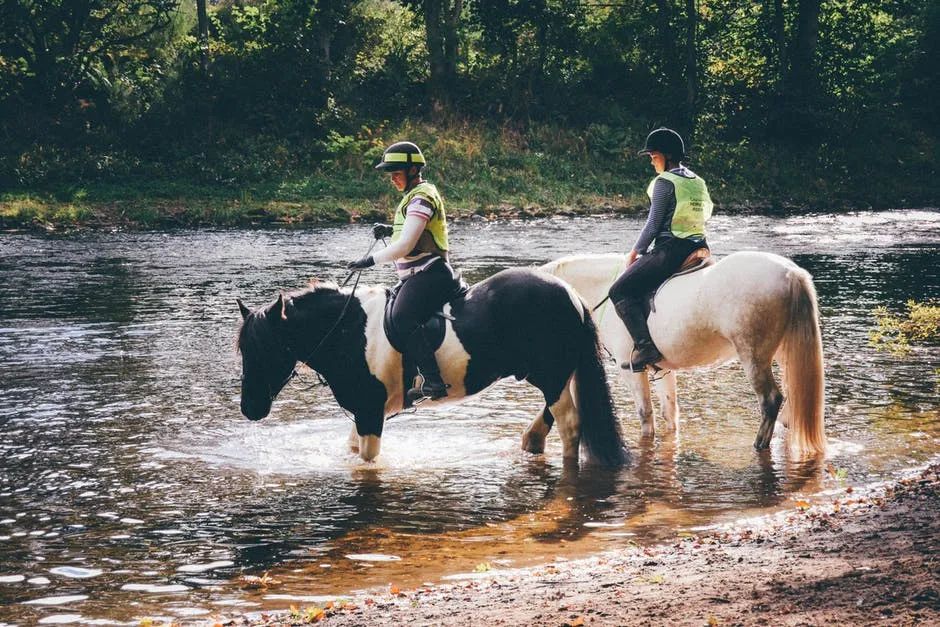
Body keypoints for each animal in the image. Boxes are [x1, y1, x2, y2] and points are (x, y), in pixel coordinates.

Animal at [239, 268, 628, 468]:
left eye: (267, 348)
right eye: (244, 349)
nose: (250, 410)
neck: (348, 330)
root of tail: (569, 294)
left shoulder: (370, 413)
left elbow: (368, 460)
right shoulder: (367, 412)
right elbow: (351, 451)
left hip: (551, 373)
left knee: (570, 425)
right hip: (551, 373)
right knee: (552, 415)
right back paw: (530, 441)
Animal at [540, 254, 828, 456]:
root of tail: (790, 273)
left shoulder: (629, 370)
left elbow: (645, 415)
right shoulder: (663, 370)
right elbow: (670, 414)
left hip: (753, 355)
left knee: (771, 399)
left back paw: (759, 445)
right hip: (782, 351)